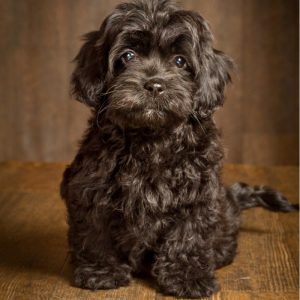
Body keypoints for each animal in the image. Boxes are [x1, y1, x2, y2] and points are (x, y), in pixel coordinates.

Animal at [59, 0, 296, 296]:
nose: (154, 84)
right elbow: (94, 232)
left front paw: (187, 277)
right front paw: (101, 271)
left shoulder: (198, 194)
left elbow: (188, 235)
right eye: (128, 56)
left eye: (180, 61)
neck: (151, 137)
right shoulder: (90, 188)